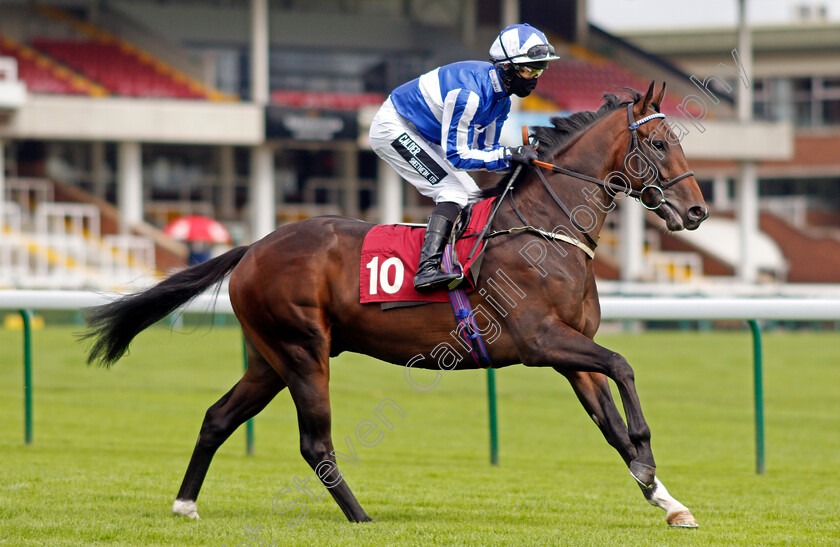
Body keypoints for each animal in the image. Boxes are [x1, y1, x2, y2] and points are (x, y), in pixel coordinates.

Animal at [80, 83, 708, 528]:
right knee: (314, 441)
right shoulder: (540, 341)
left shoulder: (570, 353)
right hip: (303, 350)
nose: (697, 211)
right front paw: (650, 457)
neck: (547, 227)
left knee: (217, 417)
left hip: (269, 358)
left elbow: (612, 425)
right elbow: (624, 367)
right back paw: (361, 517)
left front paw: (668, 500)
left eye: (678, 140)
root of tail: (254, 246)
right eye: (658, 144)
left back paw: (185, 504)